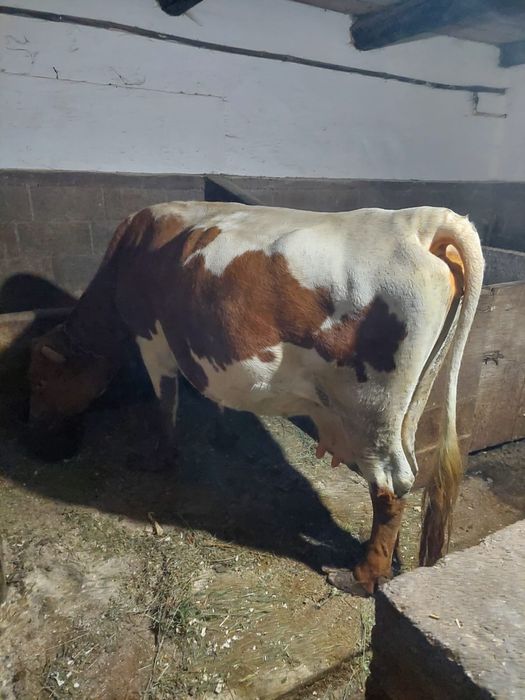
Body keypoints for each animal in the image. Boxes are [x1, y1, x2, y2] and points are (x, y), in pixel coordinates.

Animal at [27, 202, 484, 595]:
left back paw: (360, 577)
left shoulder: (152, 342)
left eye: (41, 383)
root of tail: (419, 221)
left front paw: (159, 458)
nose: (41, 450)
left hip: (373, 408)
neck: (130, 252)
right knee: (409, 474)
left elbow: (166, 404)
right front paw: (221, 436)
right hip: (411, 403)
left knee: (389, 486)